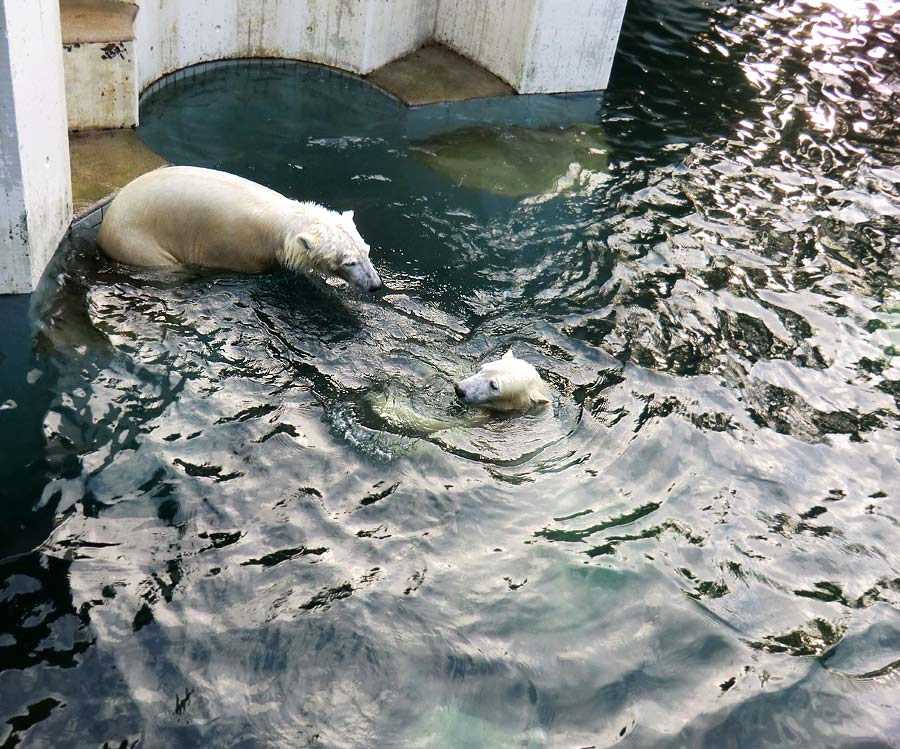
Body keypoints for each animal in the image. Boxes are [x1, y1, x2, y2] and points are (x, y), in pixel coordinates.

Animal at [96, 164, 384, 292]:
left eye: (367, 251)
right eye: (348, 262)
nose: (375, 285)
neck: (283, 224)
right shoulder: (235, 248)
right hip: (136, 242)